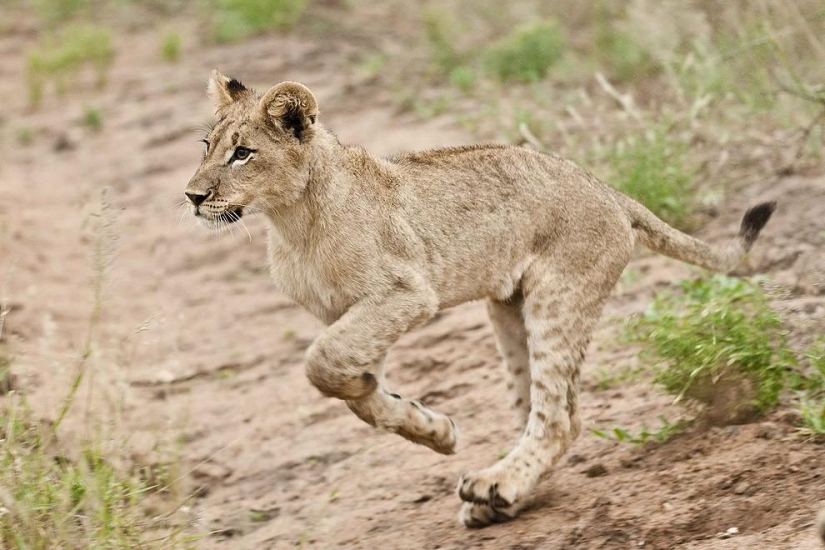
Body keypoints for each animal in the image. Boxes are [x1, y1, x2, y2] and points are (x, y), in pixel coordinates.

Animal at [184, 70, 776, 528]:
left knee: (559, 418)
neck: (291, 221)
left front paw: (418, 421)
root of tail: (609, 191)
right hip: (508, 309)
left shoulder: (405, 294)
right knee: (538, 411)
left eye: (243, 154)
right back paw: (501, 496)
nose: (192, 196)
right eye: (207, 147)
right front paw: (427, 426)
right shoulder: (351, 313)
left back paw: (497, 486)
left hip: (558, 298)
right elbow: (356, 388)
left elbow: (321, 364)